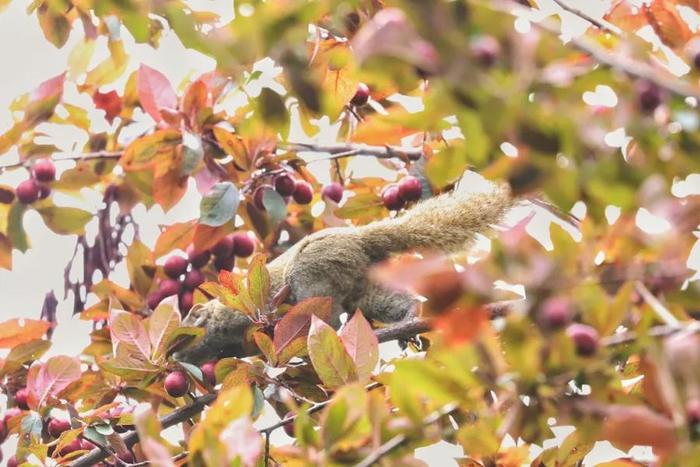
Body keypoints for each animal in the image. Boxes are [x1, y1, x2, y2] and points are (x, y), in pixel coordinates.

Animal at [178, 177, 512, 364]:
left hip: (313, 276)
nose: (173, 357)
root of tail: (360, 239)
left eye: (185, 332)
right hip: (363, 291)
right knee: (391, 302)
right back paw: (409, 318)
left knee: (328, 315)